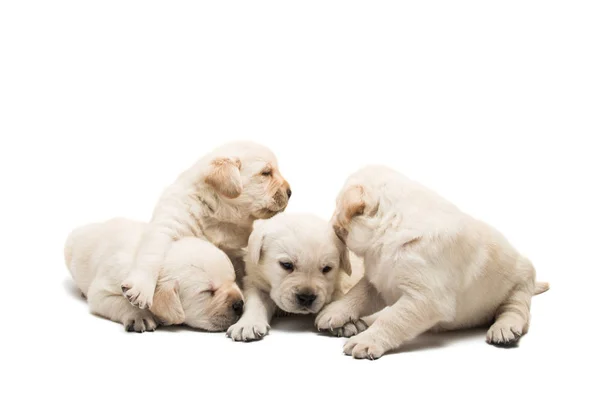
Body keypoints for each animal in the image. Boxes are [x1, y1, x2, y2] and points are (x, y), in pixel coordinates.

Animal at [65, 219, 244, 332]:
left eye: (234, 280)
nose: (240, 304)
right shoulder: (102, 292)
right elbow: (121, 302)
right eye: (207, 292)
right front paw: (140, 316)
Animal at [118, 142, 290, 312]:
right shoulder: (167, 225)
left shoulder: (238, 249)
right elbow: (152, 255)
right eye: (266, 173)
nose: (290, 192)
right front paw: (141, 289)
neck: (216, 213)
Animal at [227, 214, 354, 342]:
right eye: (286, 264)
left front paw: (340, 318)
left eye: (327, 268)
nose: (306, 298)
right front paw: (248, 324)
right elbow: (256, 302)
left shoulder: (334, 286)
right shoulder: (255, 281)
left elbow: (338, 297)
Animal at [316, 167, 552, 360]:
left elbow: (392, 319)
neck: (392, 222)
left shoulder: (426, 299)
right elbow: (357, 294)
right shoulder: (379, 280)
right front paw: (334, 311)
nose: (329, 225)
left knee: (516, 310)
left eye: (336, 205)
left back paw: (504, 328)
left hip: (520, 284)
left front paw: (366, 340)